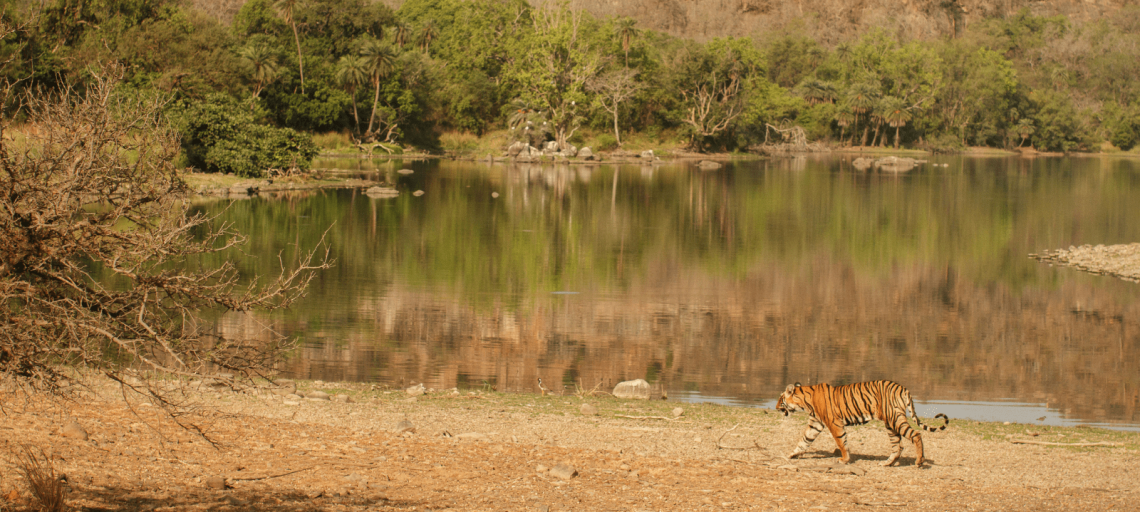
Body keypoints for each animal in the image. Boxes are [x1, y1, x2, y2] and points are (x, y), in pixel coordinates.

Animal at [775, 378, 953, 467]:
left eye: (780, 398)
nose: (776, 407)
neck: (805, 401)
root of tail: (903, 388)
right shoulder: (816, 423)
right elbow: (804, 440)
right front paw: (791, 454)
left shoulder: (834, 423)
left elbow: (841, 442)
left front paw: (844, 460)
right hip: (890, 423)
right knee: (898, 445)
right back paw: (887, 463)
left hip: (895, 419)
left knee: (916, 434)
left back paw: (919, 461)